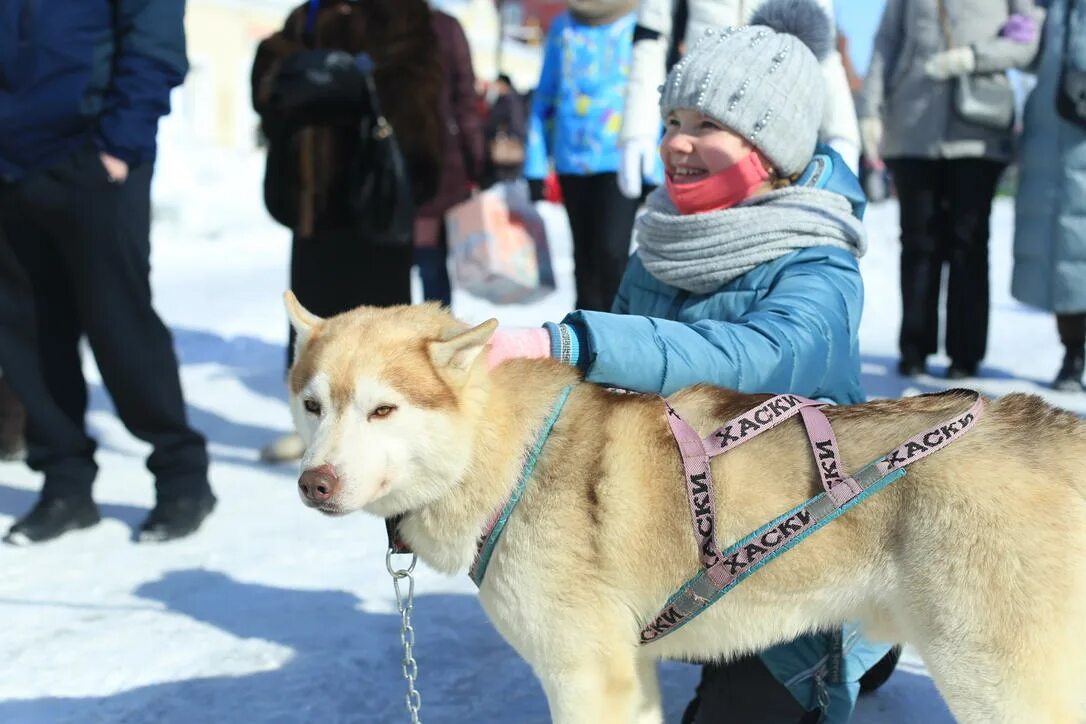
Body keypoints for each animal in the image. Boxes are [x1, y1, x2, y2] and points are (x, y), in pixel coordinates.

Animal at [284, 290, 1086, 720]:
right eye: (313, 404)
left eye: (383, 410)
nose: (312, 482)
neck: (509, 456)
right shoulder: (626, 674)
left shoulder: (584, 678)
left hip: (994, 680)